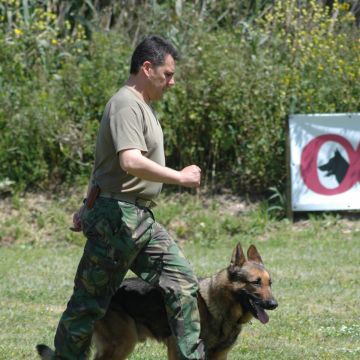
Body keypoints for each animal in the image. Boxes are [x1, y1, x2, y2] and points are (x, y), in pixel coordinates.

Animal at [36, 243, 278, 358]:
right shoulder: (178, 348)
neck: (221, 308)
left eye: (270, 283)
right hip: (123, 342)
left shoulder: (219, 355)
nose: (274, 304)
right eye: (255, 283)